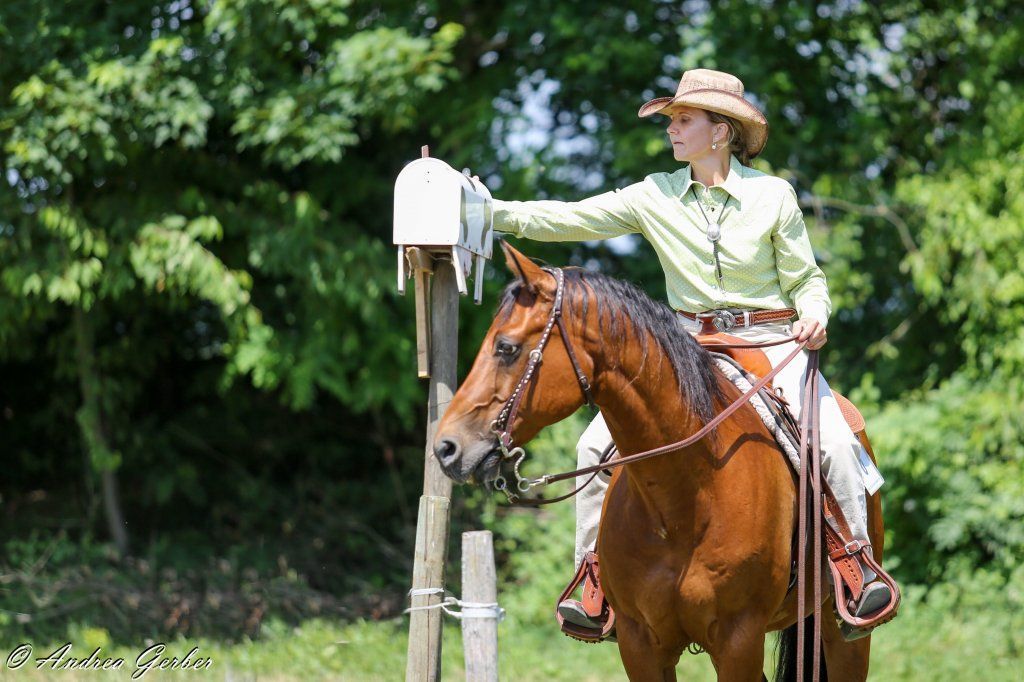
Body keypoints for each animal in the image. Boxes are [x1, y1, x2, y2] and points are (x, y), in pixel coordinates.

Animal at [433, 241, 884, 681]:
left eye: (506, 348)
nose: (446, 447)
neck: (686, 498)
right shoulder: (641, 644)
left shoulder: (739, 639)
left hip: (843, 635)